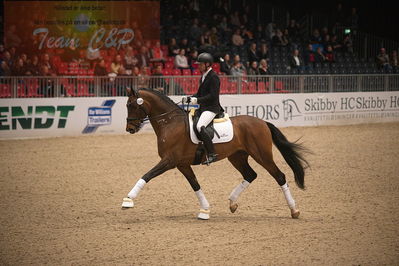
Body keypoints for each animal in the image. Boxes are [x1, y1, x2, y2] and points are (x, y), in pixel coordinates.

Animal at [122, 88, 310, 219]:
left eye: (131, 105)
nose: (129, 128)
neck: (170, 123)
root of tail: (262, 122)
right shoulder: (182, 164)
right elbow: (195, 185)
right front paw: (205, 210)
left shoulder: (169, 161)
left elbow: (147, 175)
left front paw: (128, 200)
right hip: (237, 157)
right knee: (250, 174)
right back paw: (232, 203)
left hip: (262, 155)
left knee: (279, 176)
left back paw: (294, 210)